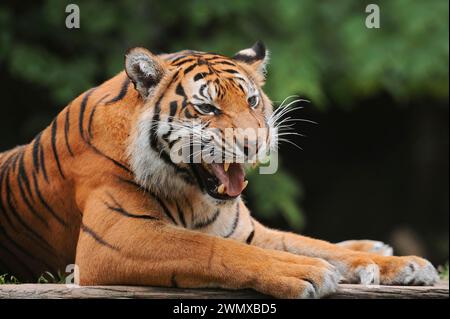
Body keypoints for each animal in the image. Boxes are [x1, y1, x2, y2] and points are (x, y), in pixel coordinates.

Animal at [0, 41, 438, 298]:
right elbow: (210, 249)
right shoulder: (112, 240)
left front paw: (409, 267)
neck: (193, 193)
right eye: (207, 108)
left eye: (252, 101)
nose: (254, 143)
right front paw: (307, 272)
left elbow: (315, 244)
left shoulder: (245, 229)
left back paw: (376, 249)